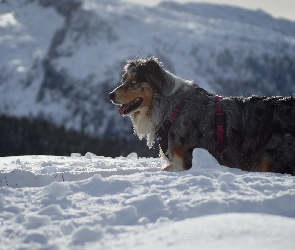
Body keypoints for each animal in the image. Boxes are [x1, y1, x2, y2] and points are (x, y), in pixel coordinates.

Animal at [110, 56, 295, 175]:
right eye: (123, 79)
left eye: (134, 82)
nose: (110, 95)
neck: (171, 107)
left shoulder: (184, 163)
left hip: (270, 155)